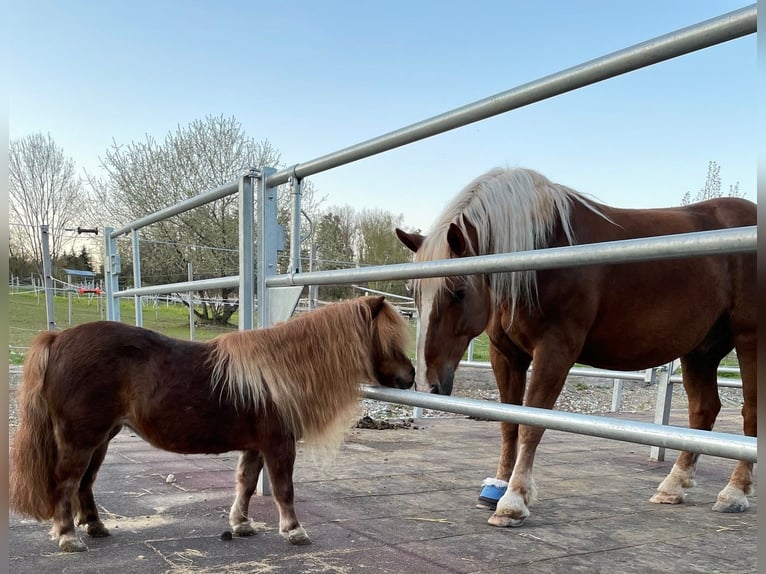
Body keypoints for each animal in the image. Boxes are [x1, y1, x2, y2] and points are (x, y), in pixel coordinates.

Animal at [9, 295, 415, 552]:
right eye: (389, 338)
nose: (411, 376)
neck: (279, 372)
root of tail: (57, 338)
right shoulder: (278, 444)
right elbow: (283, 489)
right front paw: (294, 531)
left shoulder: (255, 446)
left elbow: (246, 484)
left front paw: (241, 524)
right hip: (81, 439)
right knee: (66, 483)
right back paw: (68, 537)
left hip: (102, 438)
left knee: (85, 483)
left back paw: (95, 526)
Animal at [395, 167, 756, 528]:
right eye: (414, 292)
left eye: (458, 292)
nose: (427, 384)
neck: (540, 251)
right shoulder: (506, 355)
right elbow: (508, 422)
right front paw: (497, 487)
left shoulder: (554, 351)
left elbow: (531, 424)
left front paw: (513, 501)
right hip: (700, 349)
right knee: (703, 410)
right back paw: (673, 486)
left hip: (749, 340)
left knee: (751, 413)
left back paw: (734, 492)